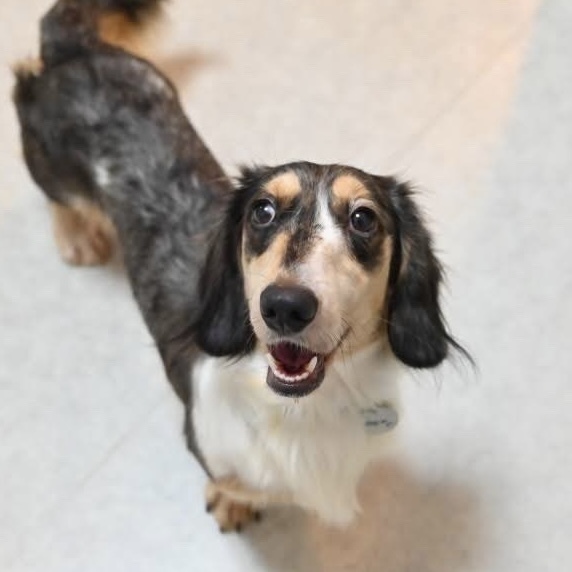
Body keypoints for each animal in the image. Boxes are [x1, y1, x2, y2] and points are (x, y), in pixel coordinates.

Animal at [14, 0, 466, 532]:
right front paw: (232, 500)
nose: (285, 305)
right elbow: (236, 481)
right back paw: (77, 235)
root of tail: (71, 48)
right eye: (262, 211)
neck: (304, 410)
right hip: (53, 164)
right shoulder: (212, 443)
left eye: (363, 219)